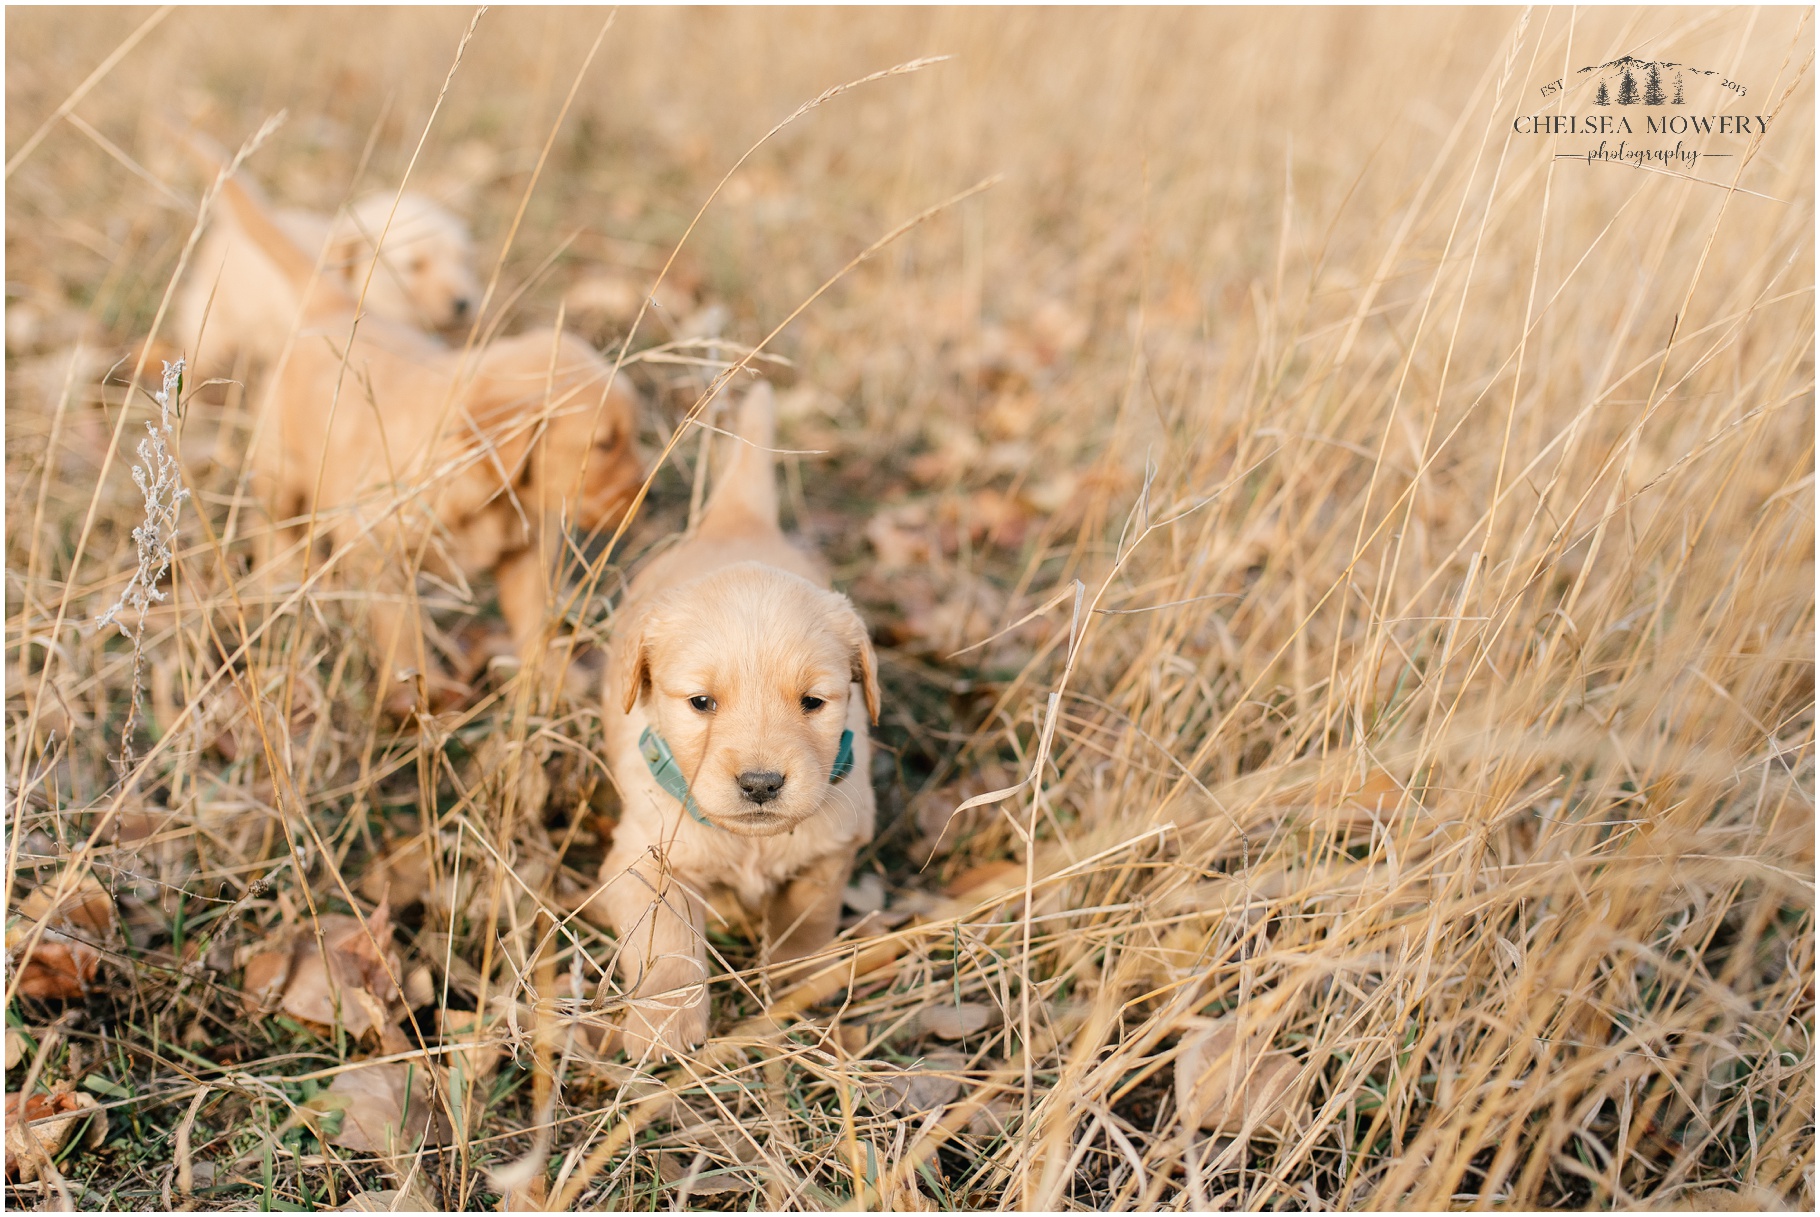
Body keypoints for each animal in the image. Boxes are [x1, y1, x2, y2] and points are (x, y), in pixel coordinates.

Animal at [589, 380, 880, 1055]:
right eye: (702, 703)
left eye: (813, 702)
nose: (761, 784)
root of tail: (735, 518)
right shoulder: (639, 860)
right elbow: (667, 937)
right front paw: (666, 1019)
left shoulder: (833, 852)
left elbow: (806, 919)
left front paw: (797, 982)